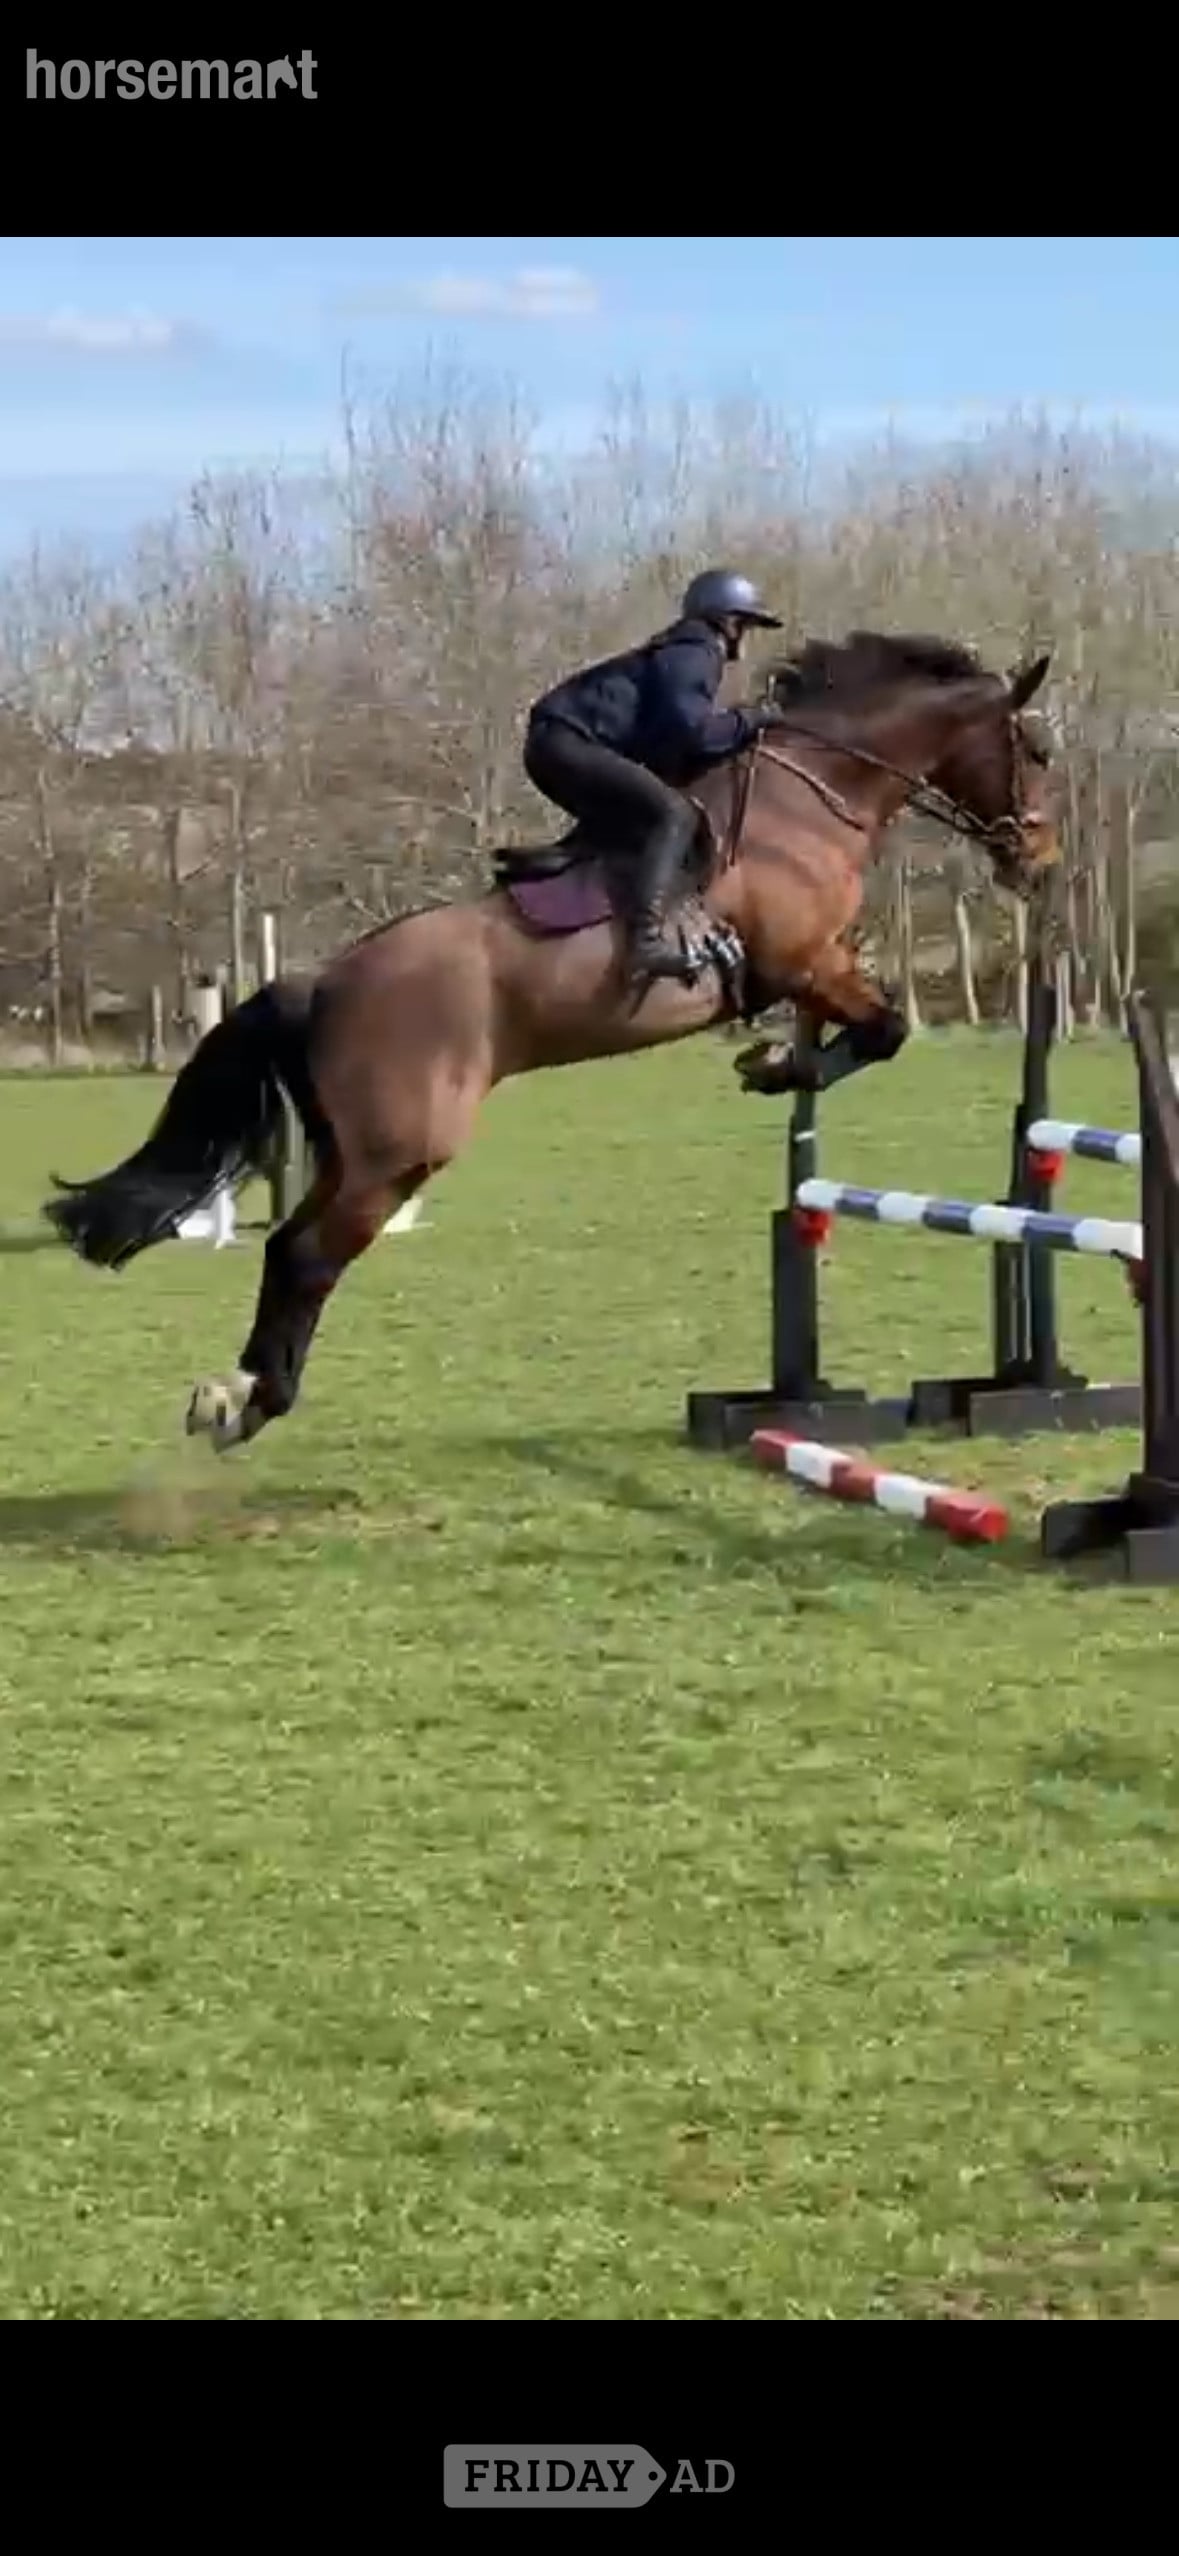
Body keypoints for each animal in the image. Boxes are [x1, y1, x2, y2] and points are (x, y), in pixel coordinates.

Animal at [44, 628, 1059, 1451]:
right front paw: (774, 1066)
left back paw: (238, 1392)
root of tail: (323, 982)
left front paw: (776, 1062)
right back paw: (250, 1402)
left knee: (290, 1247)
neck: (807, 799)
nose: (1040, 861)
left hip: (356, 1149)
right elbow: (884, 1029)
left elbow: (872, 1029)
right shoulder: (802, 960)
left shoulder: (819, 964)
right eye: (1037, 749)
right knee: (305, 1255)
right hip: (402, 1151)